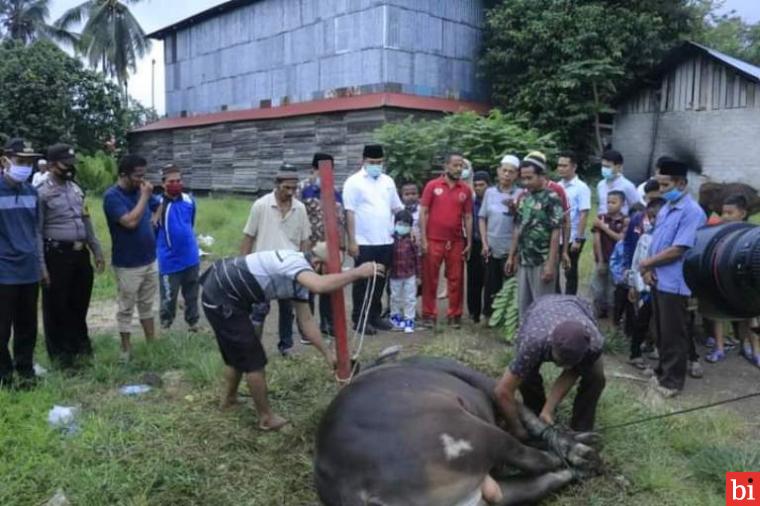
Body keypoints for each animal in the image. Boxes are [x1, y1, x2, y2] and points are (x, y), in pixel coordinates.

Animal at [314, 358, 600, 504]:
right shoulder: (484, 383)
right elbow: (528, 420)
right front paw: (576, 443)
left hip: (479, 495)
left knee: (531, 484)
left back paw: (579, 469)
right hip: (475, 434)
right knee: (530, 457)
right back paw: (581, 457)